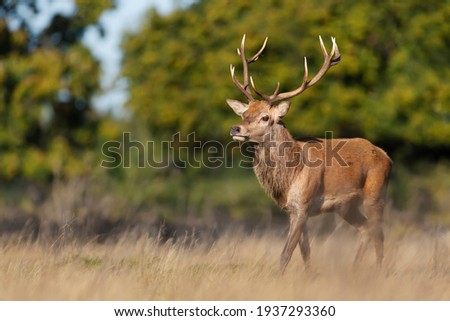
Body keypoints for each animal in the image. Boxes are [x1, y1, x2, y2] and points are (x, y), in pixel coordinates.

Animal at [227, 33, 392, 272]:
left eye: (265, 117)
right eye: (244, 114)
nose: (236, 129)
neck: (290, 176)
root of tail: (385, 155)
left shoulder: (303, 205)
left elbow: (286, 254)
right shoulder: (292, 210)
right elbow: (306, 252)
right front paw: (309, 275)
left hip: (376, 192)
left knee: (378, 233)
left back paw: (378, 271)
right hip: (346, 206)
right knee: (365, 229)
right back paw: (354, 270)